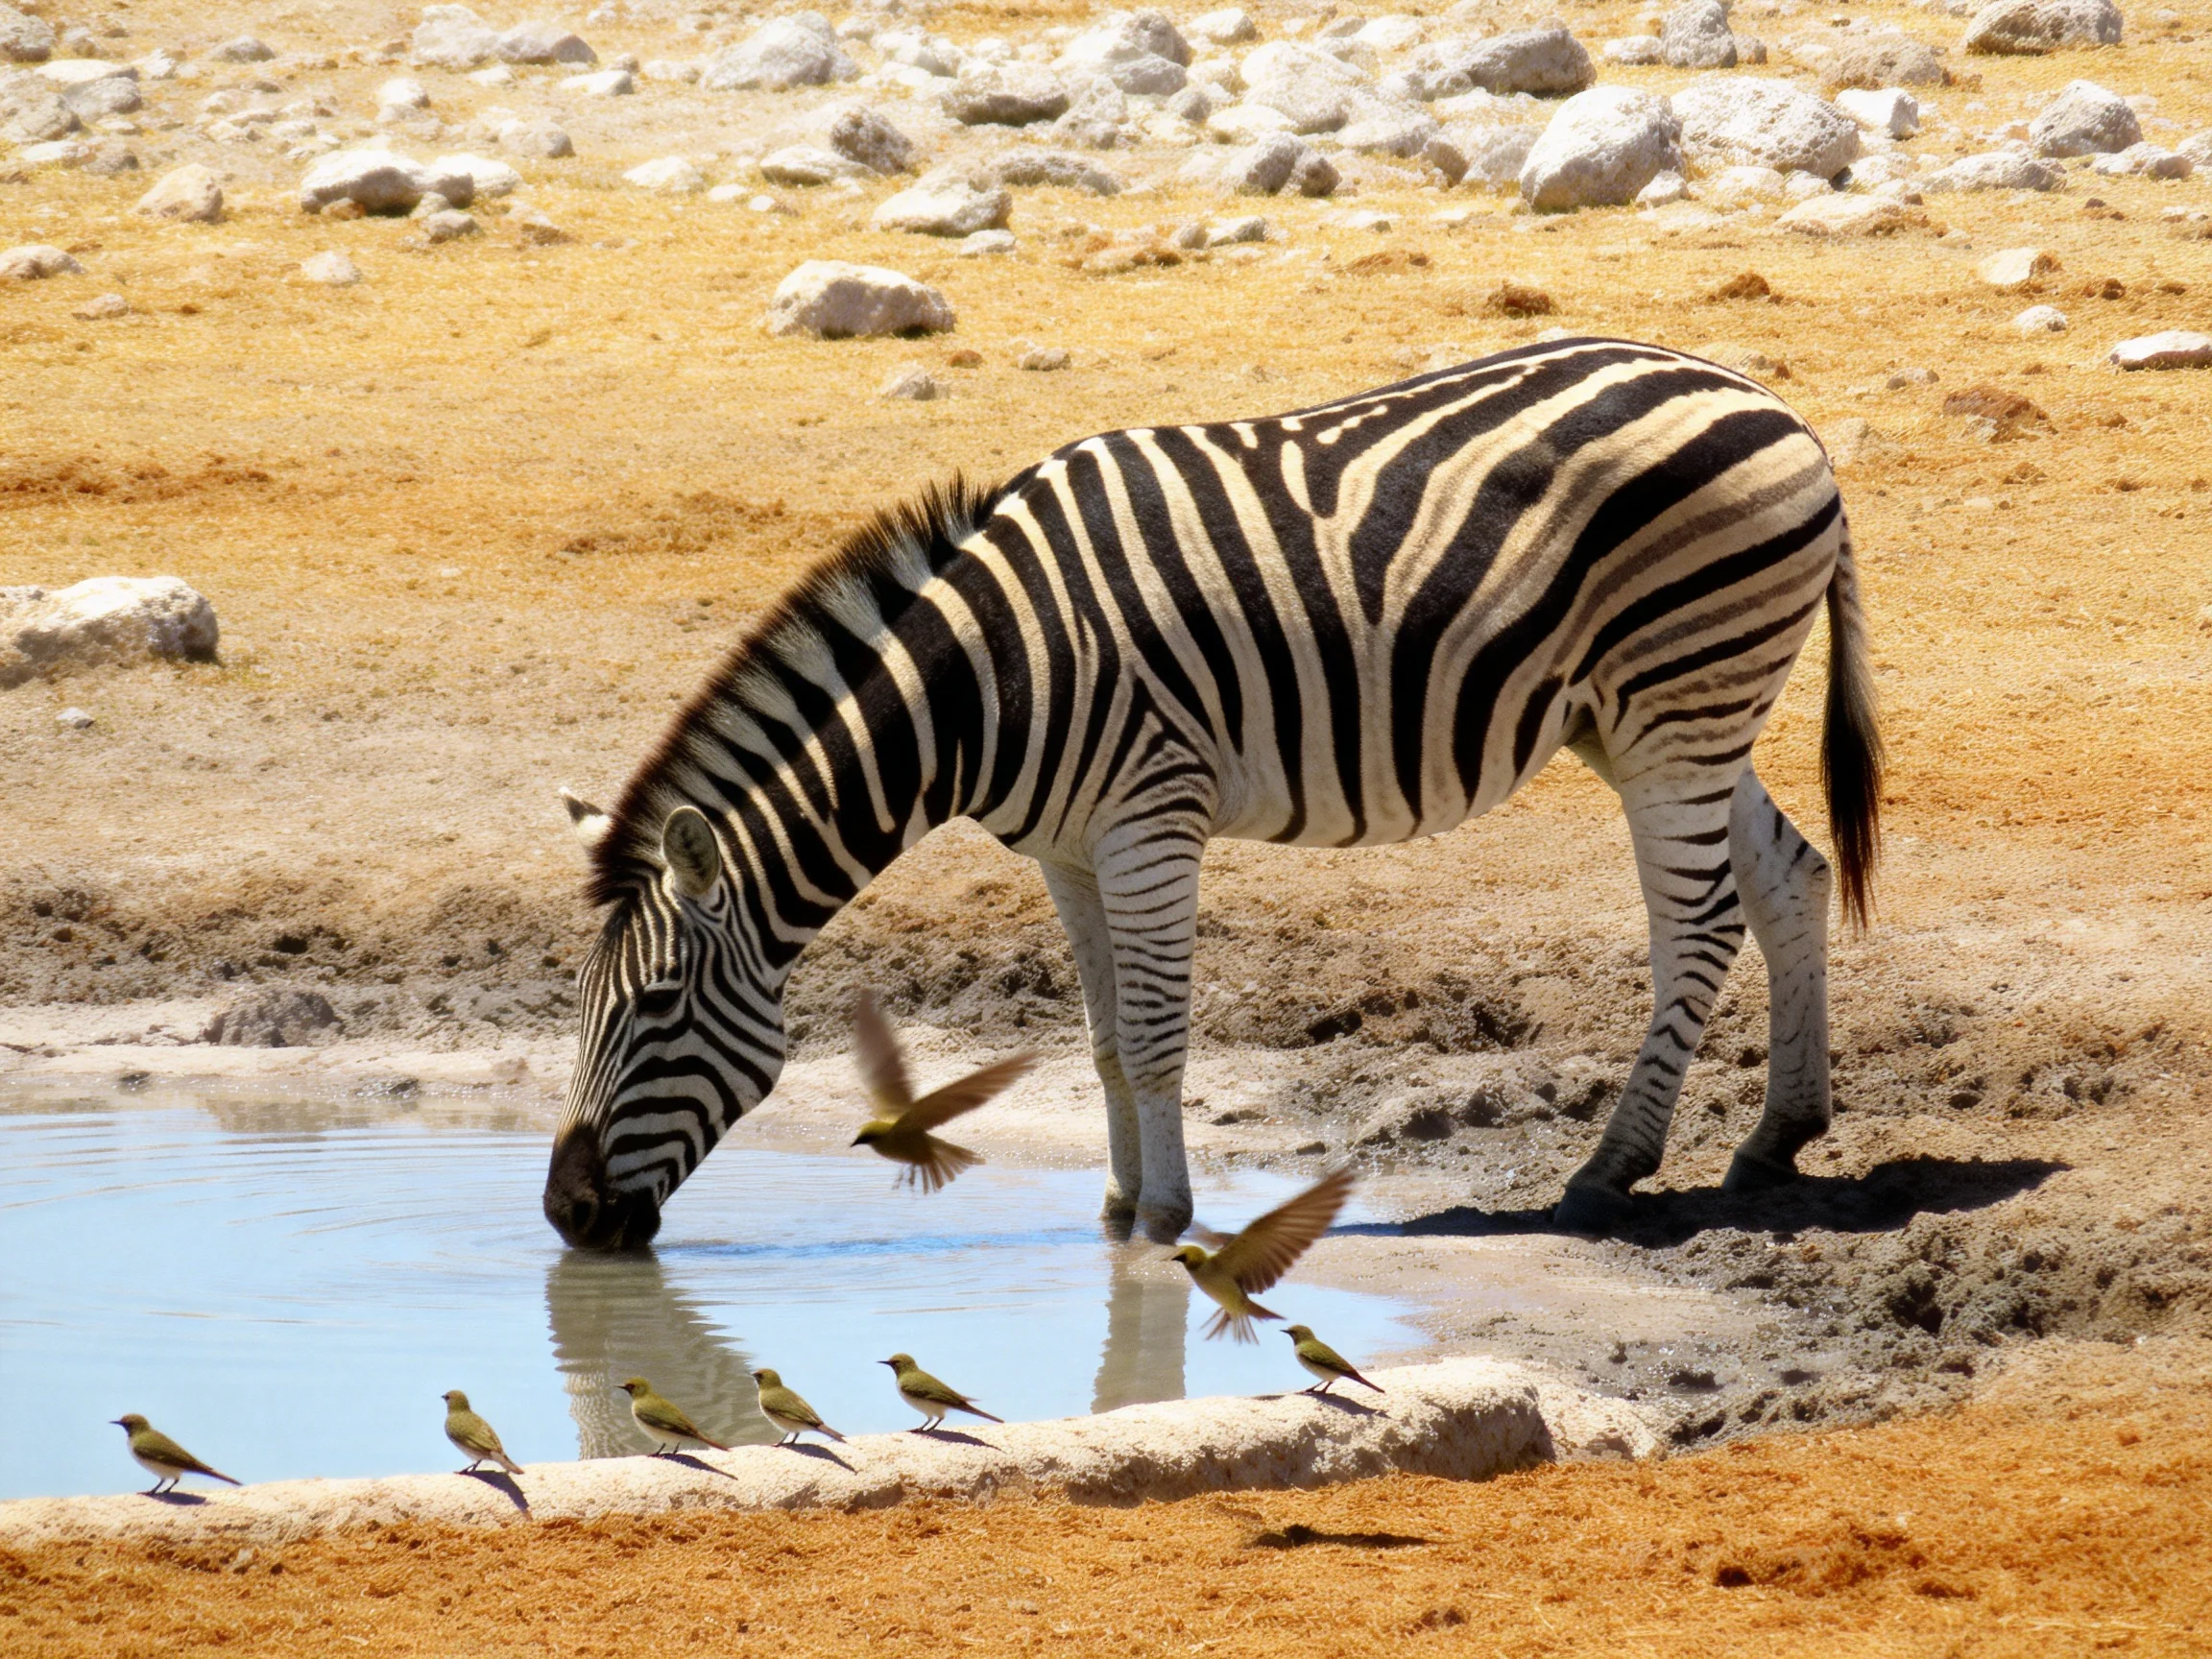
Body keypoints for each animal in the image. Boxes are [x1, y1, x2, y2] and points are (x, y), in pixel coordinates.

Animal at [543, 336, 1880, 1251]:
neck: (988, 681)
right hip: (1659, 721)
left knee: (1699, 924)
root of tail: (1775, 405)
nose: (564, 1216)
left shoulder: (1150, 822)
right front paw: (1116, 1201)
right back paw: (1778, 1134)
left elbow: (1152, 1033)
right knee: (1790, 874)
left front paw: (1163, 1221)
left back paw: (1611, 1168)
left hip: (1675, 705)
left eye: (652, 1007)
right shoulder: (1067, 851)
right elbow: (1100, 1041)